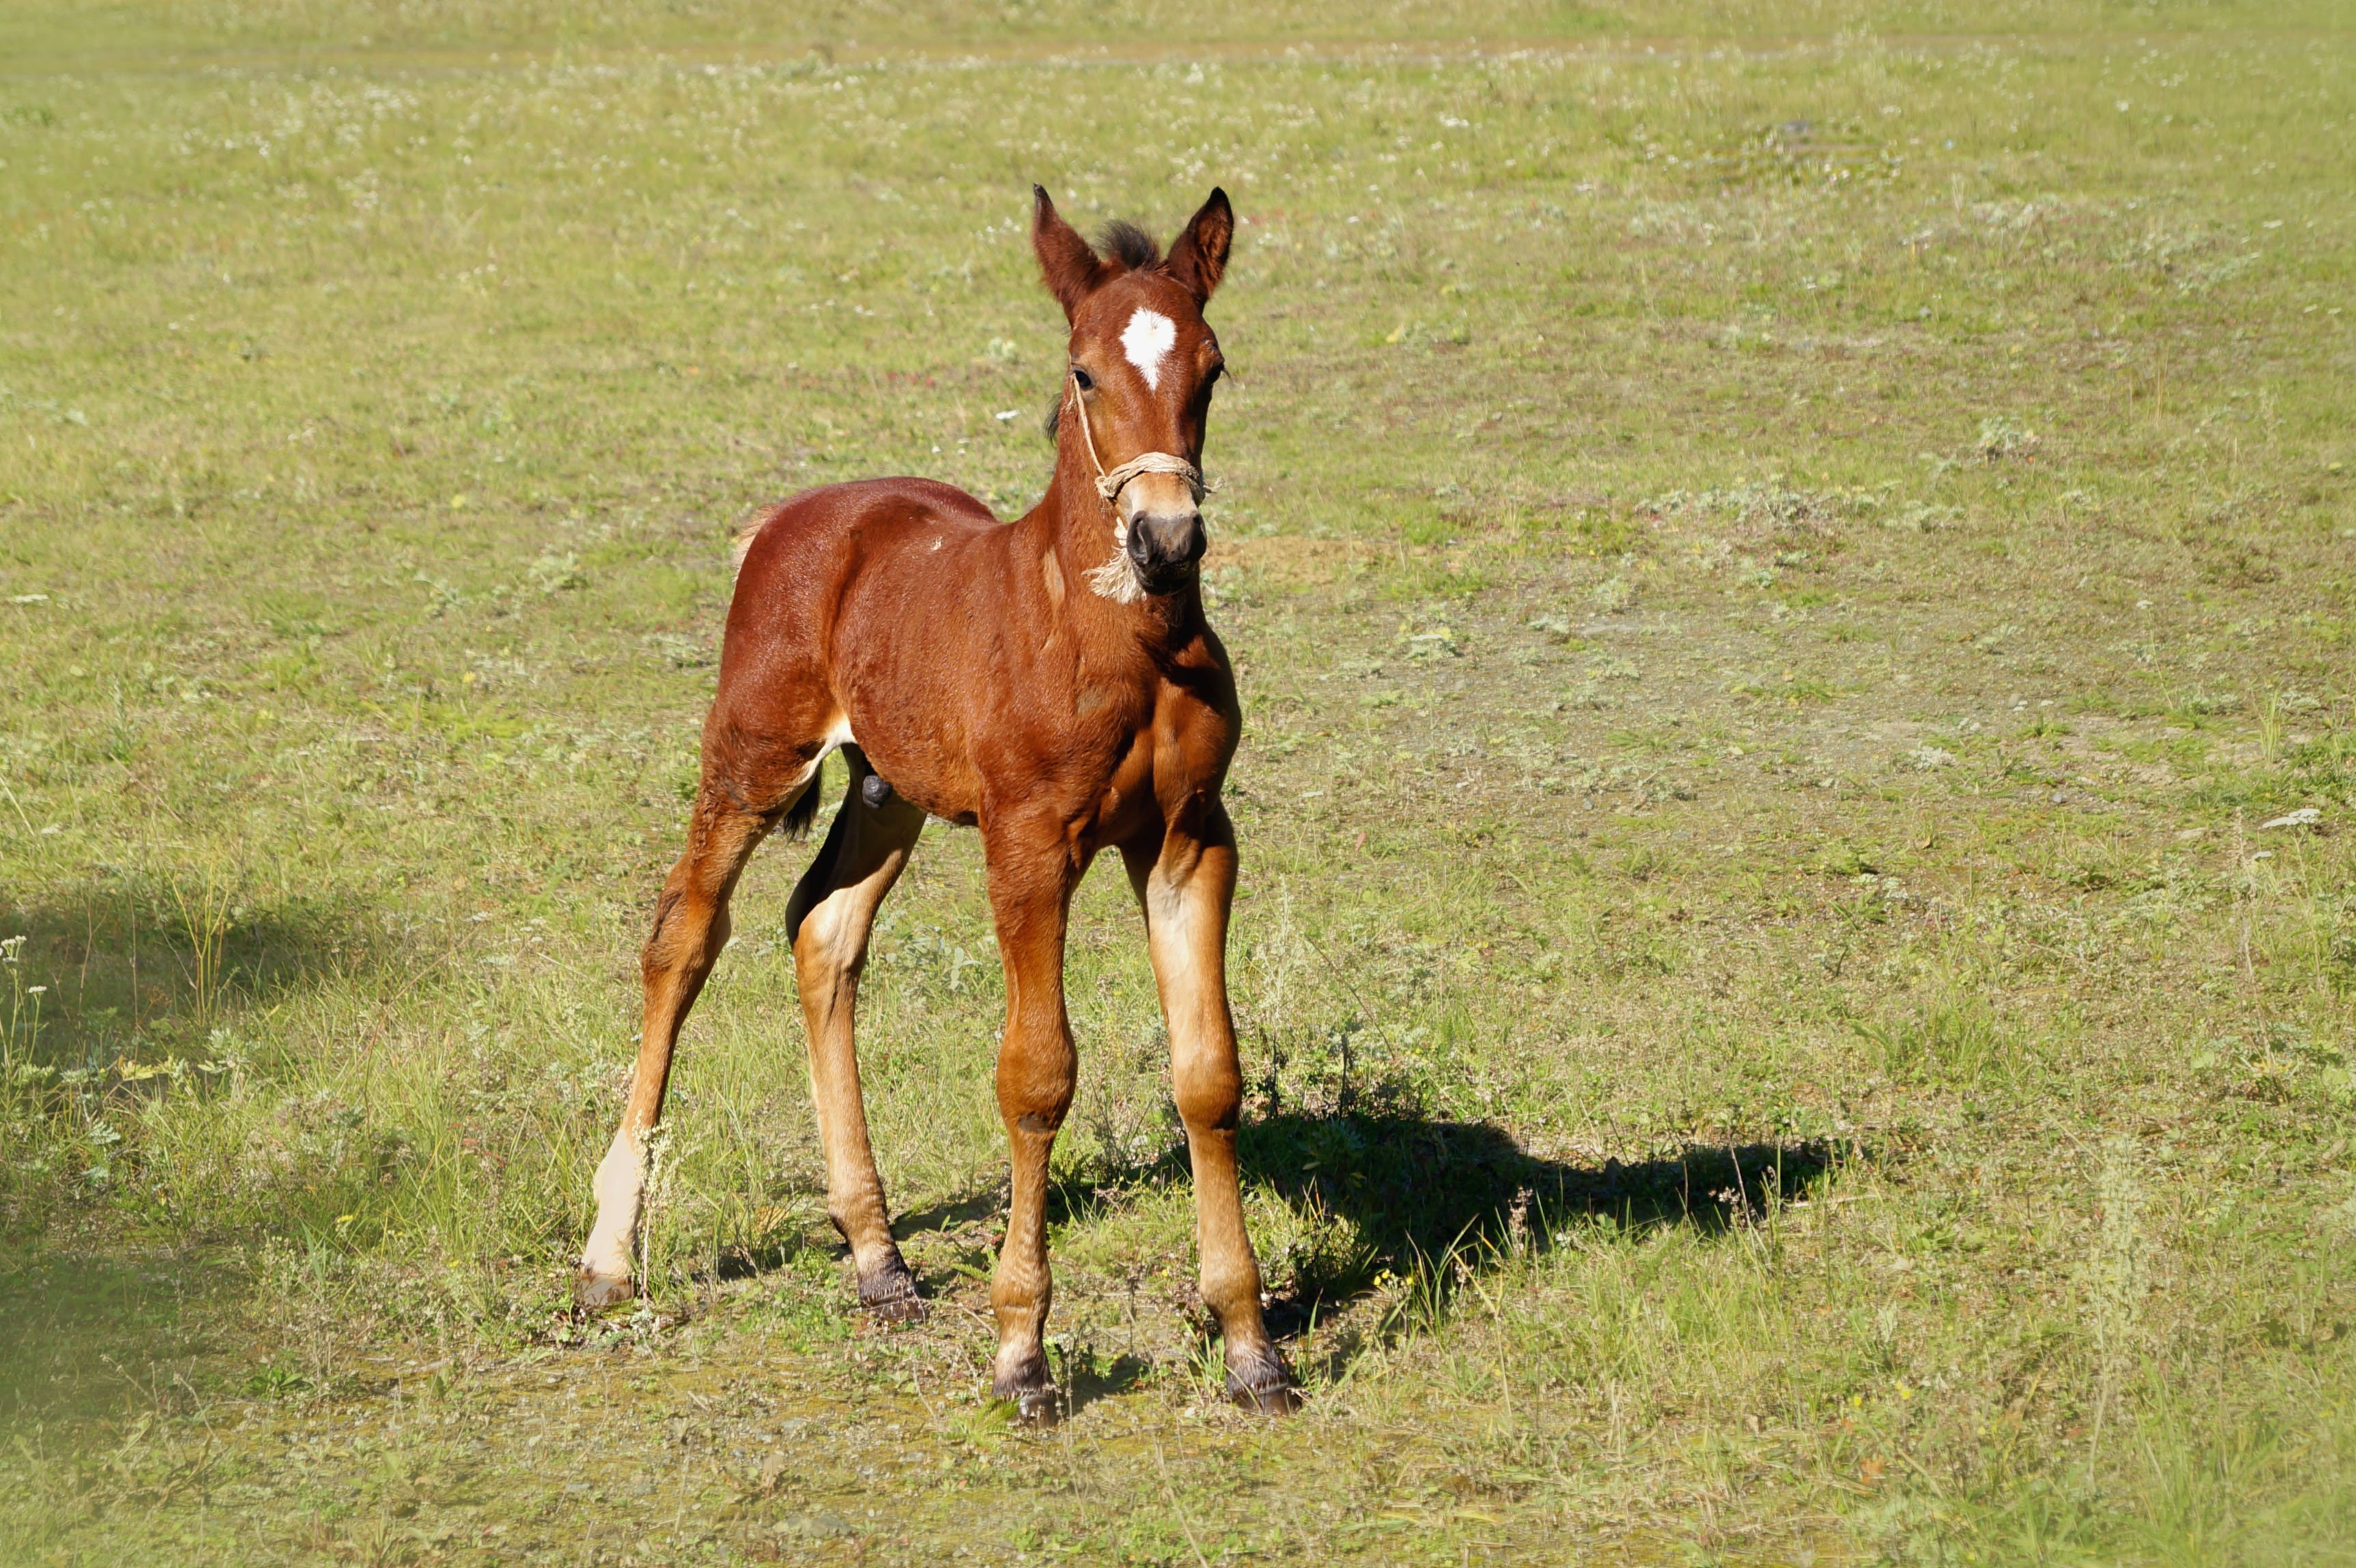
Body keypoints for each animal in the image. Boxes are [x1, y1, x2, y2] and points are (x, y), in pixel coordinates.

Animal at [574, 186, 1310, 1412]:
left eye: (1211, 368)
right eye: (1083, 373)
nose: (1166, 538)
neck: (1117, 638)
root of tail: (790, 517)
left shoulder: (1190, 838)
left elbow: (1208, 1074)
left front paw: (1253, 1347)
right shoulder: (1028, 842)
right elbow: (1036, 1076)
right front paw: (1022, 1354)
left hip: (886, 789)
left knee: (821, 931)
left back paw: (877, 1258)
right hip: (754, 752)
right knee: (684, 935)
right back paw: (607, 1260)